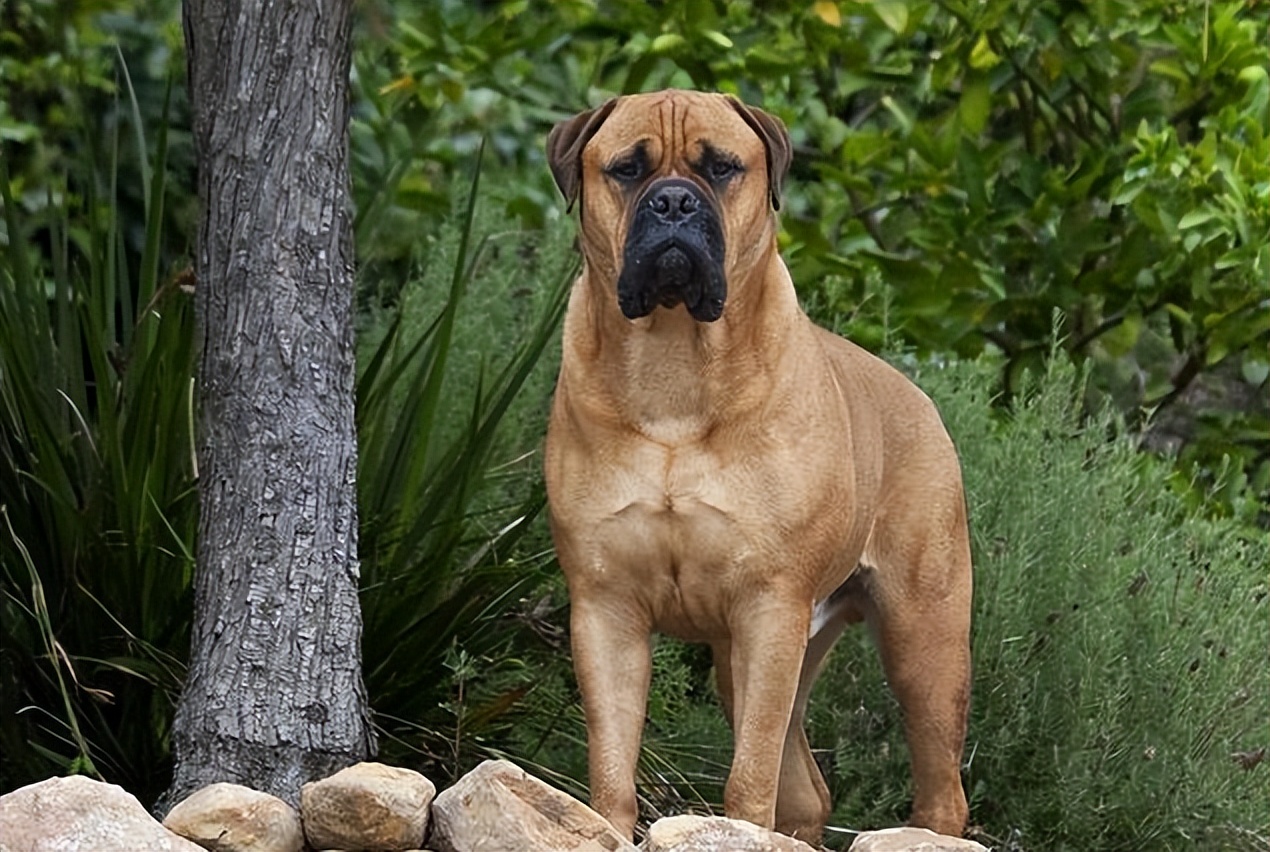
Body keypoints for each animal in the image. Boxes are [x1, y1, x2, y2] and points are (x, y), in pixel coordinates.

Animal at [543, 90, 970, 843]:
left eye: (721, 167)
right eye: (627, 169)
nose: (674, 202)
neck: (674, 366)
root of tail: (919, 398)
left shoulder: (770, 607)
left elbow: (749, 776)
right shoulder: (605, 606)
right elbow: (612, 767)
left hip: (924, 635)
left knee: (939, 790)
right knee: (808, 791)